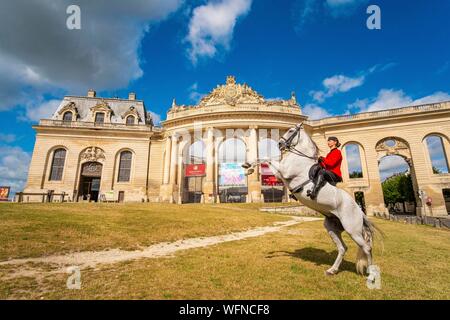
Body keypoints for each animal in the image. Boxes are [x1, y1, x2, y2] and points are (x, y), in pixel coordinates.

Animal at [243, 124, 380, 276]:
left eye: (291, 130)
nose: (280, 144)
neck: (300, 157)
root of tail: (359, 210)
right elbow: (264, 157)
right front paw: (248, 166)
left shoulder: (283, 172)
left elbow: (267, 158)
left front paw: (249, 167)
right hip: (332, 227)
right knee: (343, 248)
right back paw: (332, 270)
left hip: (352, 229)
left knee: (367, 248)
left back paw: (371, 274)